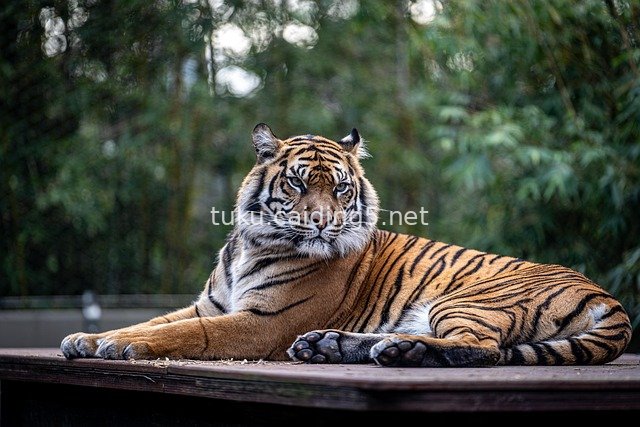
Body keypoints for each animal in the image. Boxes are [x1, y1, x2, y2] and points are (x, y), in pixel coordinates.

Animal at [61, 123, 632, 366]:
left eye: (340, 189)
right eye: (296, 183)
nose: (321, 223)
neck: (252, 244)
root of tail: (609, 298)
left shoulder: (262, 322)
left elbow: (184, 334)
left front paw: (120, 346)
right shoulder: (211, 304)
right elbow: (154, 321)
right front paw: (88, 339)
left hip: (467, 300)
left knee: (485, 350)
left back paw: (398, 353)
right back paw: (331, 345)